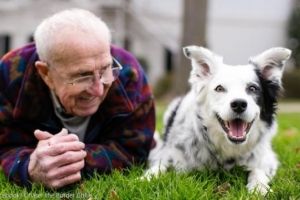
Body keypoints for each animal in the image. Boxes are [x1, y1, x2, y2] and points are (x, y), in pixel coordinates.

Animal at [145, 46, 290, 195]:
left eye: (252, 88)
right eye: (219, 88)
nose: (239, 104)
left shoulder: (267, 158)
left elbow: (258, 170)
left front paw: (259, 188)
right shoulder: (166, 154)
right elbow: (158, 167)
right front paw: (145, 179)